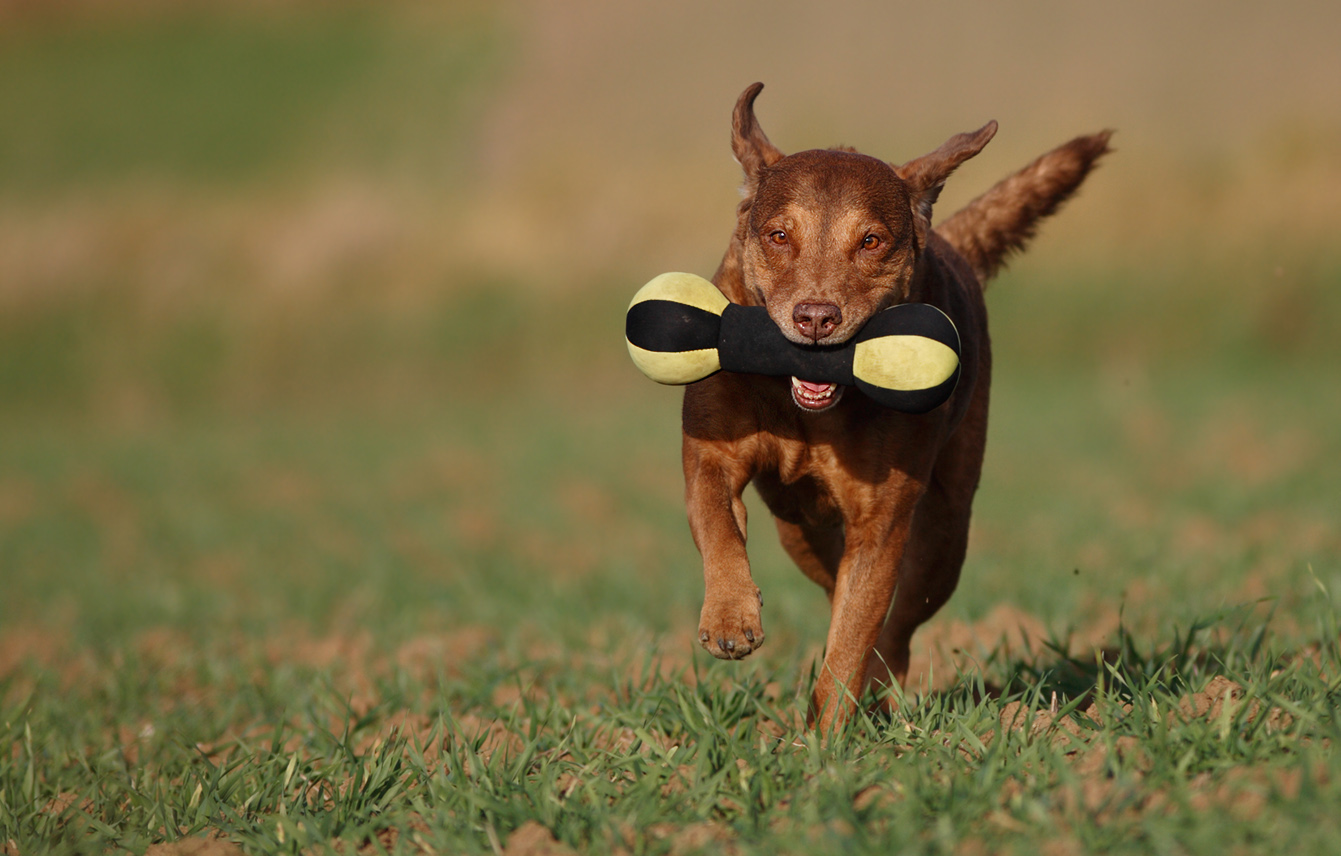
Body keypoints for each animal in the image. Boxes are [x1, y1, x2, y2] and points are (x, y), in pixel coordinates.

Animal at [681, 82, 1110, 740]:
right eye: (779, 236)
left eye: (870, 241)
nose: (815, 316)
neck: (810, 411)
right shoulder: (712, 455)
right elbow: (715, 517)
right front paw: (730, 621)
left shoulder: (881, 522)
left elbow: (855, 636)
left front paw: (825, 740)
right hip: (798, 528)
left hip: (945, 531)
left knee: (898, 619)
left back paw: (882, 698)